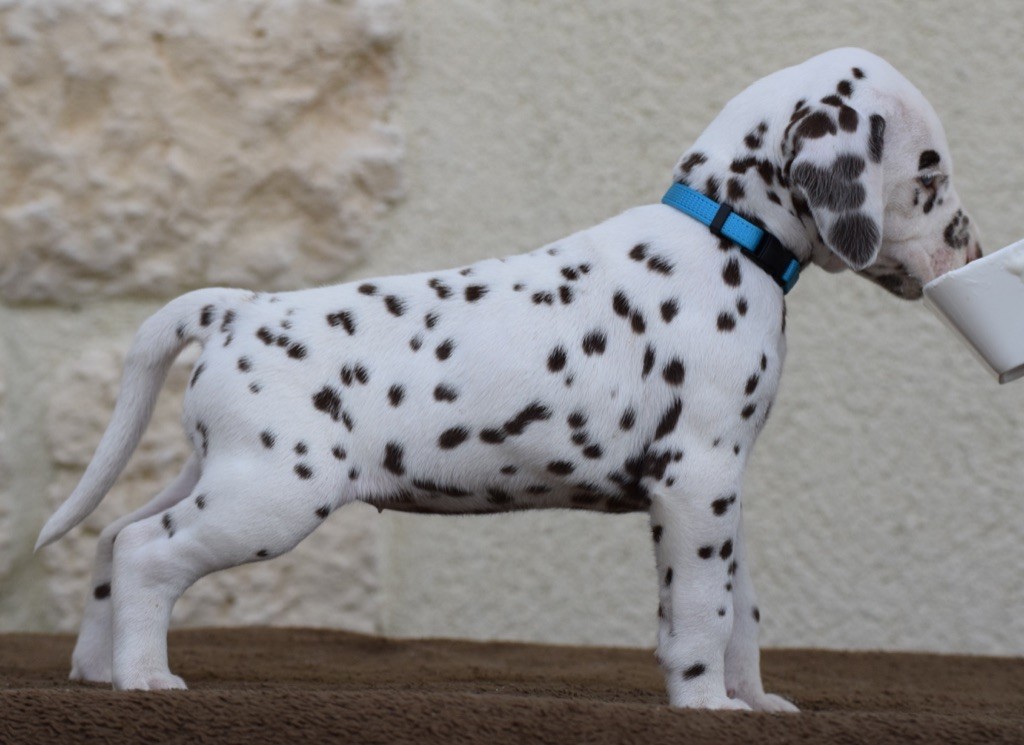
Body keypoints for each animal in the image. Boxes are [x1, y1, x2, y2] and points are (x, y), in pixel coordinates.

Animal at [36, 47, 981, 709]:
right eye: (930, 172)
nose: (969, 246)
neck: (724, 233)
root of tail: (235, 308)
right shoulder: (697, 479)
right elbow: (700, 615)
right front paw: (706, 702)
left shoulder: (723, 496)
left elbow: (738, 611)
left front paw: (751, 699)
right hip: (269, 494)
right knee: (148, 554)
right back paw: (145, 678)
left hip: (220, 470)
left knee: (116, 535)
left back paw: (96, 667)